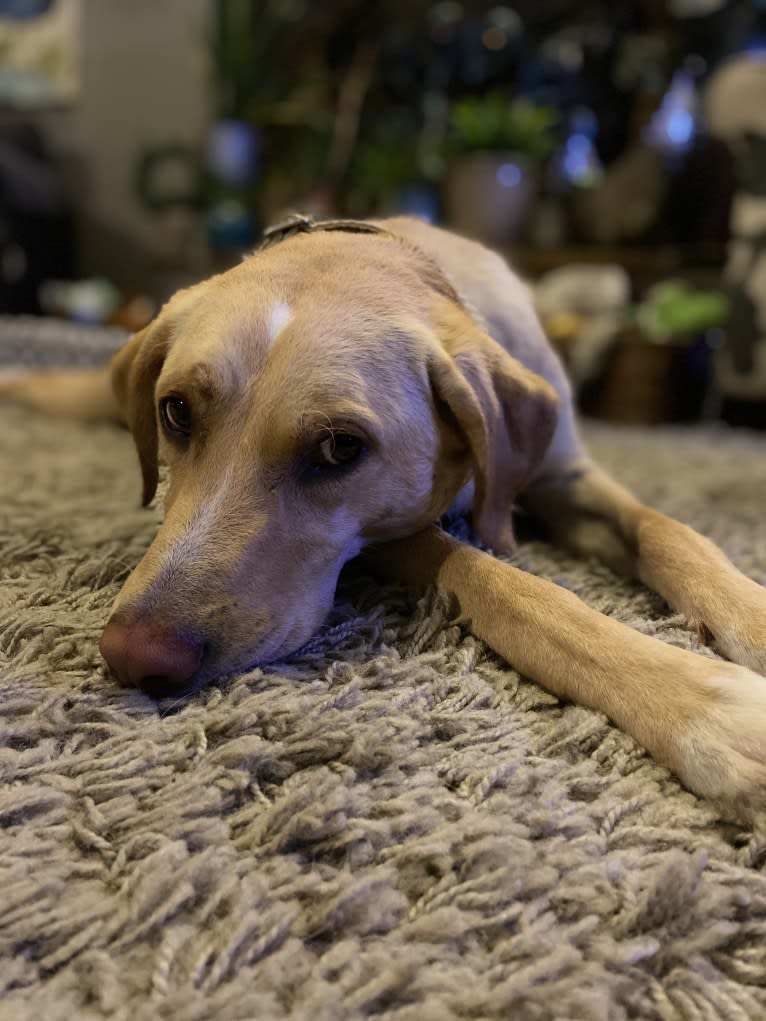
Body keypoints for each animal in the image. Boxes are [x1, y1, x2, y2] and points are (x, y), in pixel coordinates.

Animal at [1, 215, 766, 820]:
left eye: (340, 448)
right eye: (177, 412)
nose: (136, 656)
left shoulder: (564, 473)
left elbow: (668, 530)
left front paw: (749, 622)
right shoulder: (392, 538)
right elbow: (515, 588)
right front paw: (711, 706)